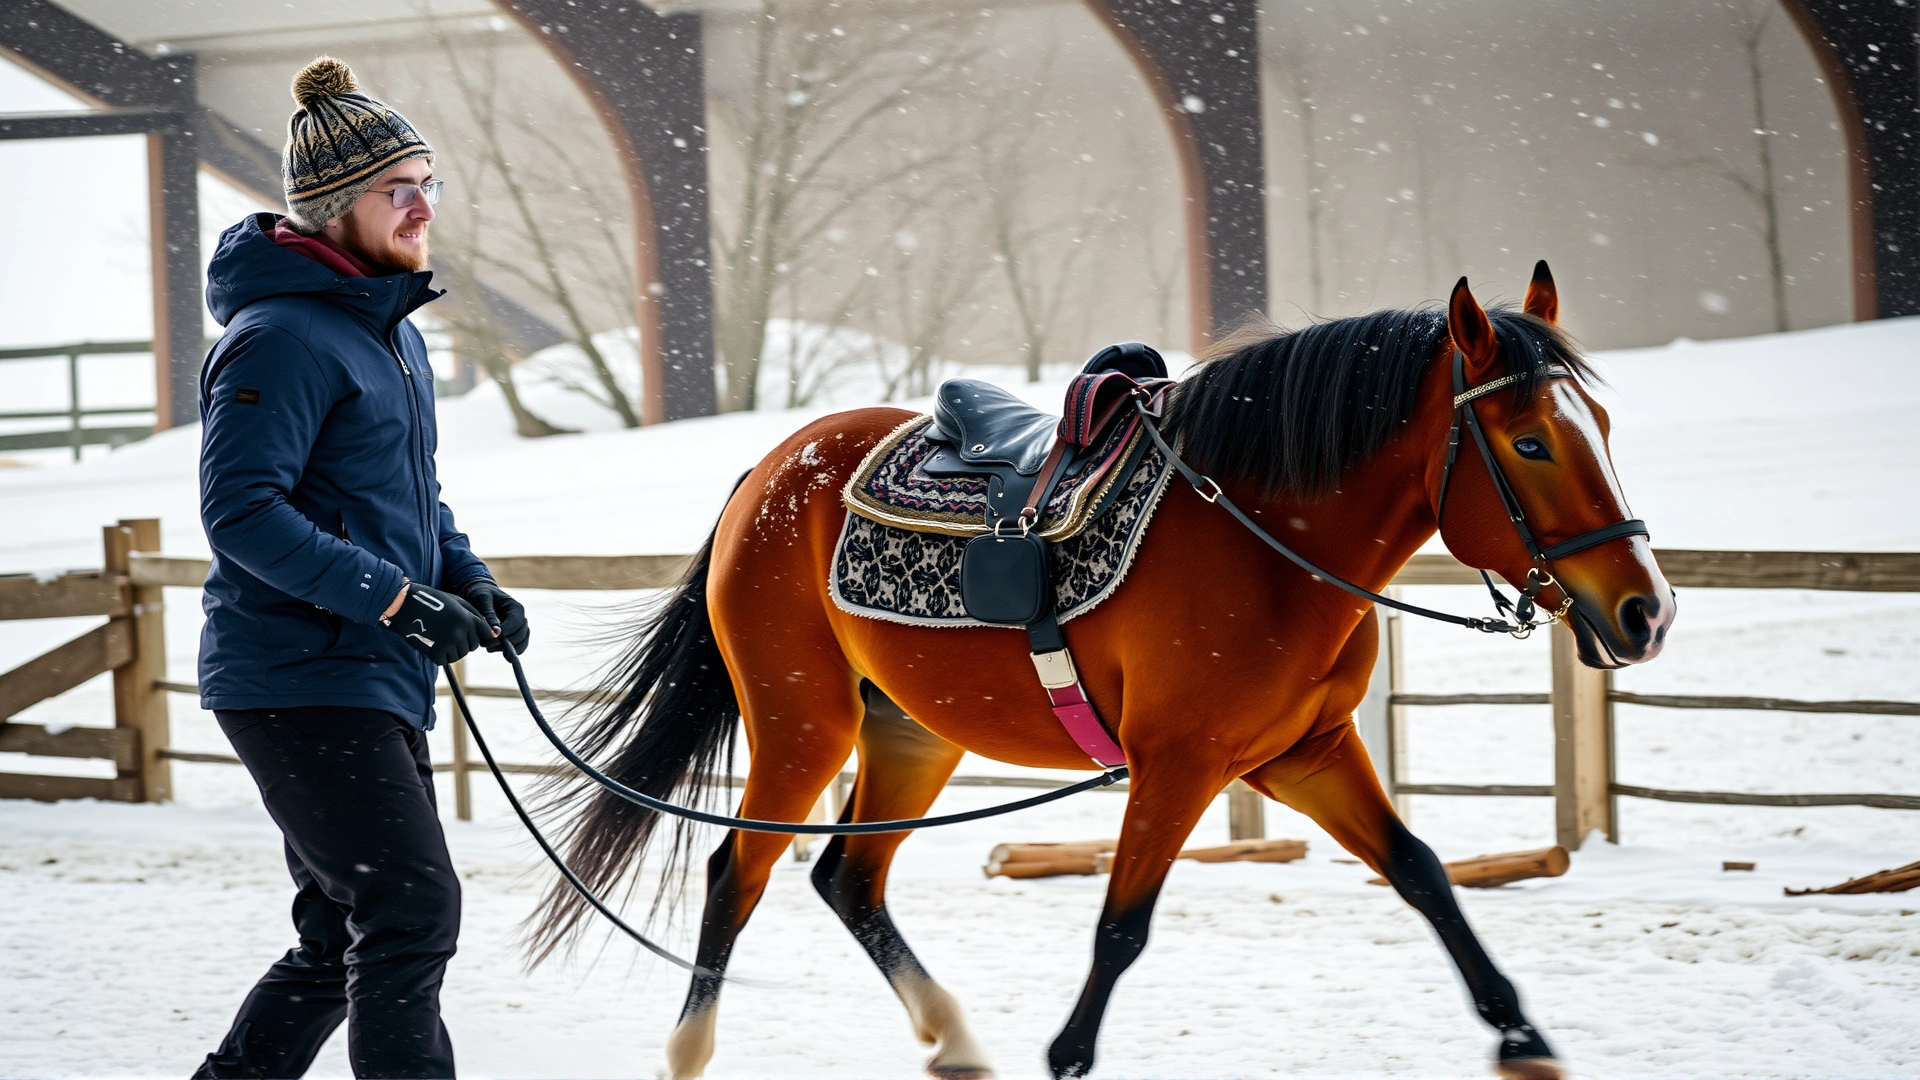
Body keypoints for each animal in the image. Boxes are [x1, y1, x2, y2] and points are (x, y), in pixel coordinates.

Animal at [526, 265, 1674, 1079]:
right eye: (1529, 443)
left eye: (1603, 427)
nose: (1645, 610)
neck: (1264, 540)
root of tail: (768, 472)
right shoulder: (1179, 763)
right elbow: (1121, 926)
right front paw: (1067, 1055)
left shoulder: (1306, 752)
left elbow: (1424, 873)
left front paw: (1523, 1040)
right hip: (804, 725)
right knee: (741, 871)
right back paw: (690, 1053)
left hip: (909, 731)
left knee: (846, 879)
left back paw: (953, 1039)